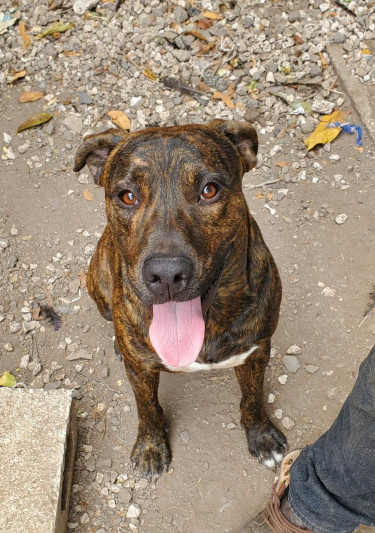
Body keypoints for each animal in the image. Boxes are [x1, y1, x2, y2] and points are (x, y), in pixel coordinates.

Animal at [73, 119, 286, 478]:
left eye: (209, 190)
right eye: (127, 196)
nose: (166, 274)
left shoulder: (257, 351)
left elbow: (253, 397)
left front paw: (261, 435)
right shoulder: (141, 371)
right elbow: (147, 407)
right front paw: (150, 447)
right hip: (97, 285)